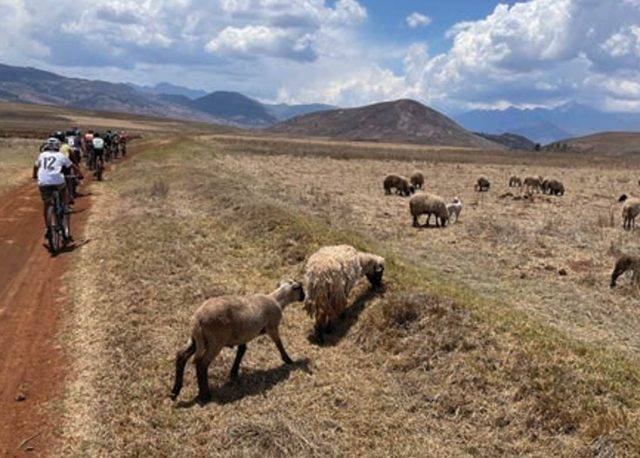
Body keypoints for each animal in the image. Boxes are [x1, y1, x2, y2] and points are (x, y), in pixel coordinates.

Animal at [170, 278, 304, 402]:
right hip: (215, 341)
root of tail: (197, 319)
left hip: (196, 340)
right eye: (301, 288)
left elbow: (241, 351)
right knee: (202, 364)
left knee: (181, 356)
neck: (276, 300)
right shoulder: (272, 327)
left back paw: (175, 391)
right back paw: (205, 395)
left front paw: (234, 373)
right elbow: (279, 344)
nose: (304, 297)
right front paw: (288, 360)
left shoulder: (243, 335)